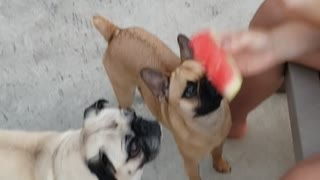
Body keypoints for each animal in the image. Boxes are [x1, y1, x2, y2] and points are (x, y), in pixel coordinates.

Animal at [94, 15, 231, 180]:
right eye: (190, 90)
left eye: (209, 69)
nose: (208, 81)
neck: (209, 122)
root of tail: (116, 33)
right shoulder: (191, 164)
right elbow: (196, 176)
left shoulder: (220, 142)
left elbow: (217, 153)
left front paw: (219, 164)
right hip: (125, 92)